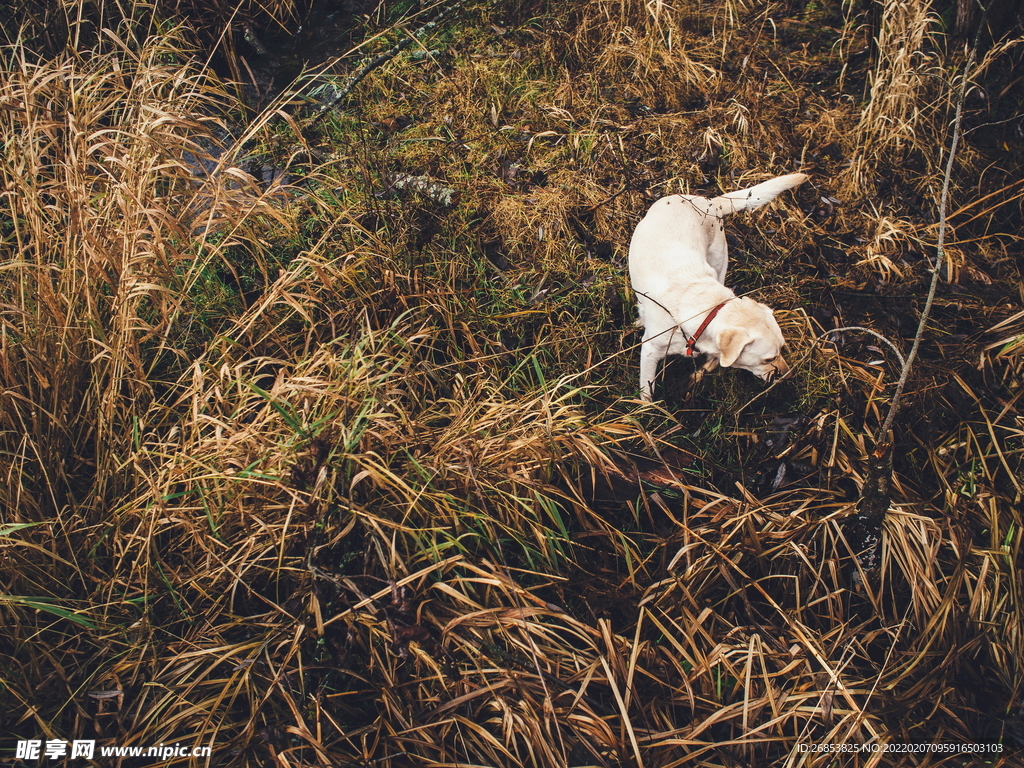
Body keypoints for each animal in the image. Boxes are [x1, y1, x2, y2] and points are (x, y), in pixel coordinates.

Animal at [626, 174, 802, 403]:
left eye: (782, 348)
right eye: (768, 359)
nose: (788, 375)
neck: (706, 310)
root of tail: (709, 201)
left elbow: (713, 362)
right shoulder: (649, 350)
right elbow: (646, 391)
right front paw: (646, 409)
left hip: (719, 262)